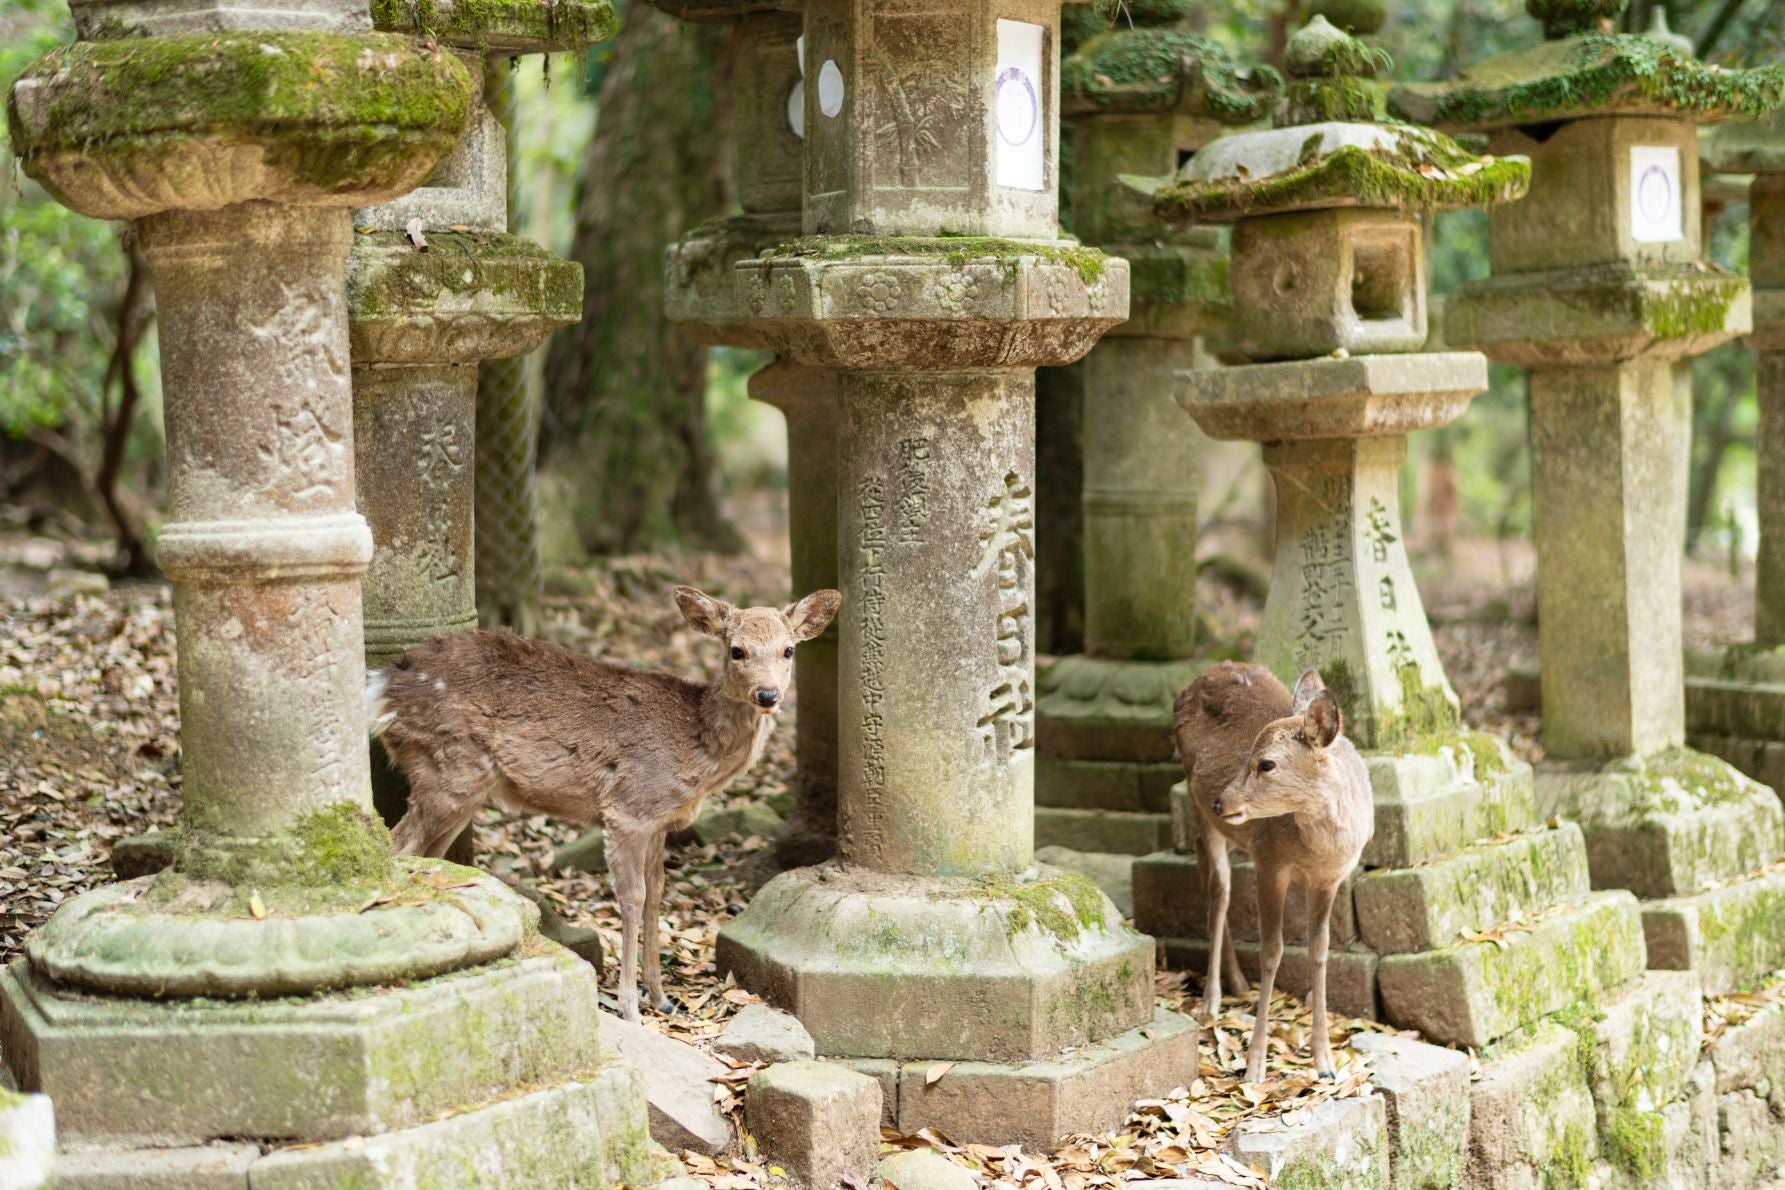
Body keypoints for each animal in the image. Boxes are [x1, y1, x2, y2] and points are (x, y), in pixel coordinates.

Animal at [367, 584, 842, 1023]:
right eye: (736, 649)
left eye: (789, 650)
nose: (768, 695)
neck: (697, 749)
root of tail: (383, 686)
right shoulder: (628, 808)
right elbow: (631, 897)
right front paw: (630, 1008)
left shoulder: (660, 822)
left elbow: (656, 895)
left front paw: (662, 998)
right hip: (447, 768)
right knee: (397, 845)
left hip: (463, 783)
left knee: (430, 853)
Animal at [1173, 661, 1373, 1083]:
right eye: (1249, 752)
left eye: (1266, 763)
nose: (1221, 802)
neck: (1319, 850)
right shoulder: (1269, 862)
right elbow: (1272, 951)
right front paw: (1254, 1066)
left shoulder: (1330, 879)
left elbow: (1320, 948)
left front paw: (1325, 1062)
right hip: (1197, 799)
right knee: (1219, 889)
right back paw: (1211, 1001)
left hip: (1227, 826)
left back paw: (1236, 981)